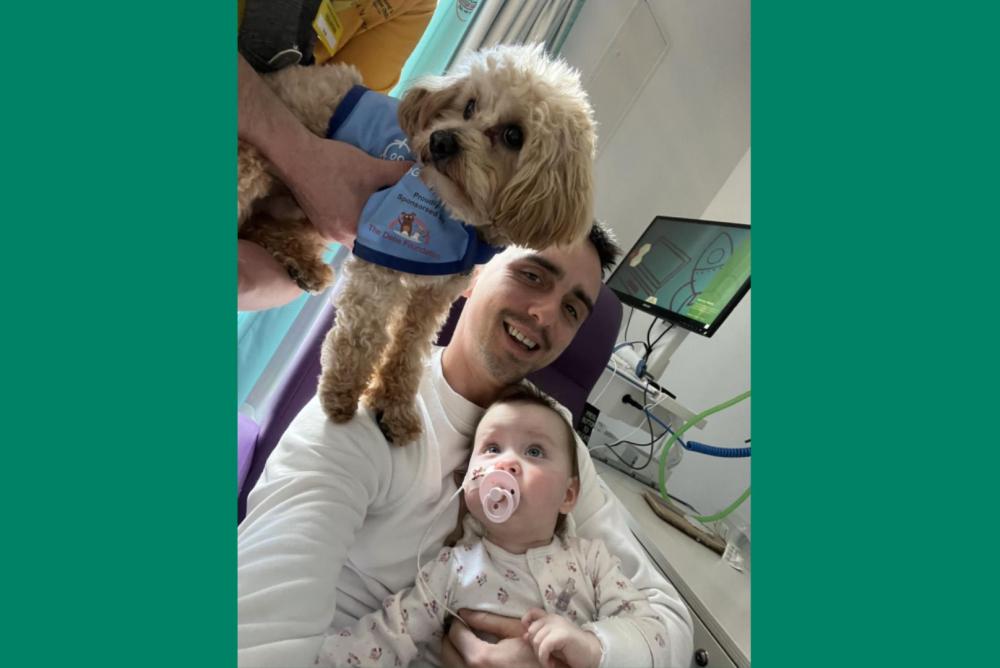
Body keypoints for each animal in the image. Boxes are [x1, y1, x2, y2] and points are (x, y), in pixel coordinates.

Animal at [237, 44, 596, 444]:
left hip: (308, 207)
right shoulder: (383, 253)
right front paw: (341, 393)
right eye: (469, 105)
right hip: (258, 167)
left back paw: (305, 265)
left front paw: (395, 410)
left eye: (513, 135)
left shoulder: (434, 296)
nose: (441, 141)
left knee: (260, 226)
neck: (460, 220)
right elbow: (364, 334)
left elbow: (409, 351)